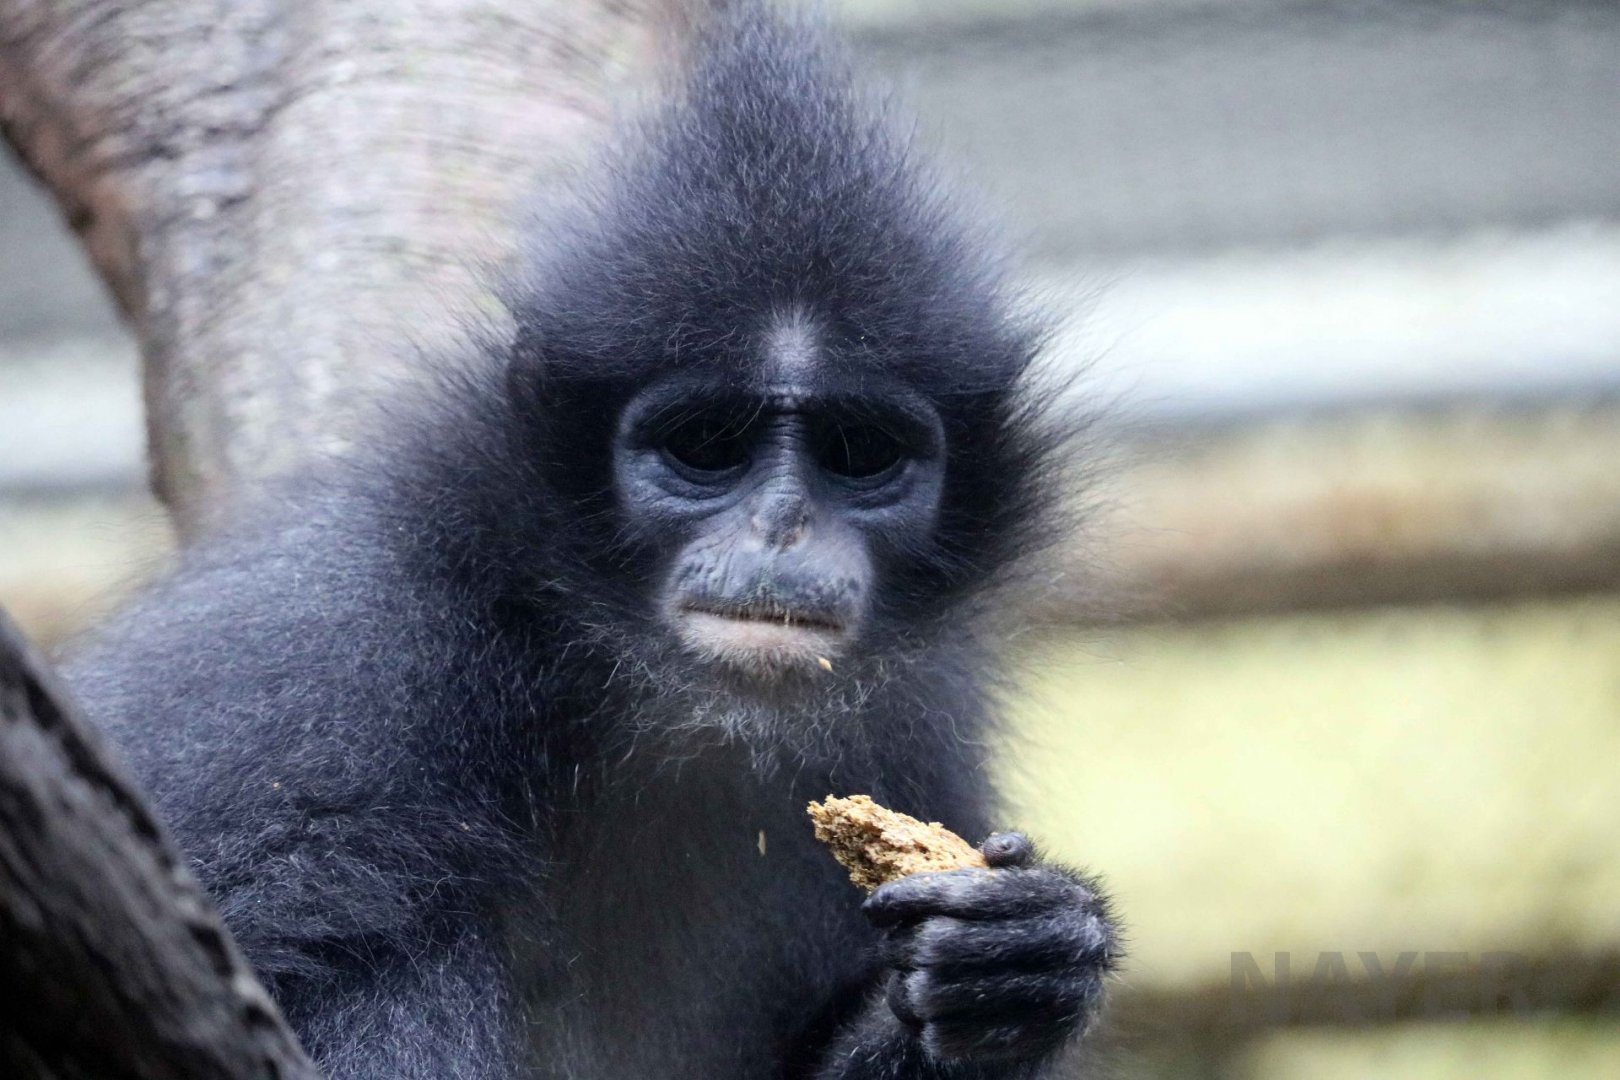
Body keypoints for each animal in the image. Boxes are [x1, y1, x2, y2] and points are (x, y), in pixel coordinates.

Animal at [63, 5, 1117, 1078]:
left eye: (859, 453)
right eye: (707, 446)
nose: (780, 526)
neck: (658, 705)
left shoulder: (916, 714)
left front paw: (1027, 958)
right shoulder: (330, 651)